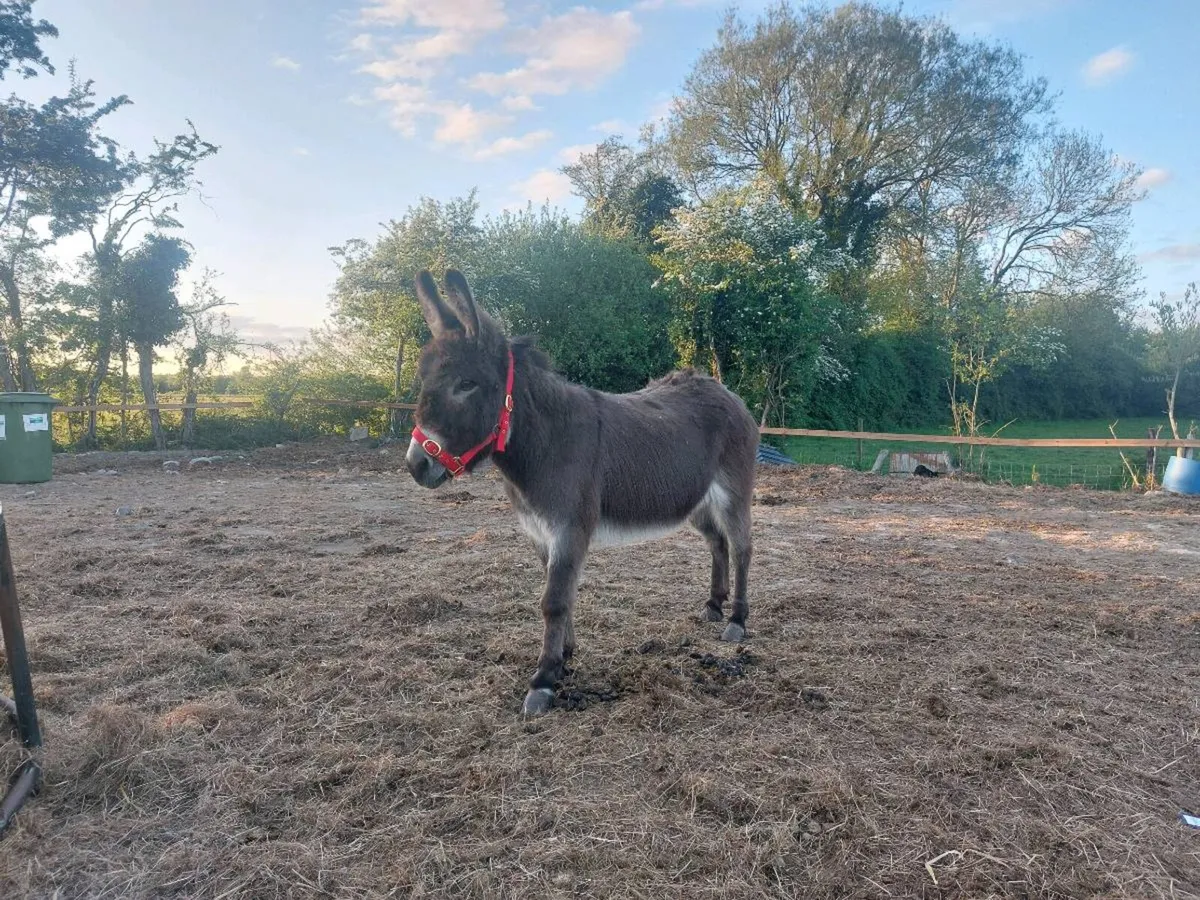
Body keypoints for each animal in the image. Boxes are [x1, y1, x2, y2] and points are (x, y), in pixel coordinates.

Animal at [405, 269, 759, 716]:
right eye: (424, 381)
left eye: (466, 384)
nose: (416, 464)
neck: (544, 443)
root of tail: (723, 389)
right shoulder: (540, 531)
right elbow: (561, 594)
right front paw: (564, 657)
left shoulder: (570, 528)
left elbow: (553, 600)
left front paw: (543, 681)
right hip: (696, 500)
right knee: (717, 543)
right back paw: (714, 606)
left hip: (732, 492)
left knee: (741, 547)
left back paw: (737, 621)